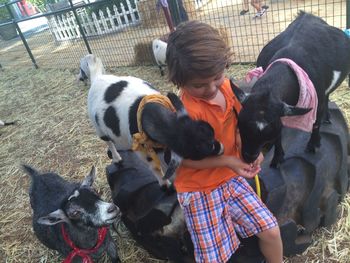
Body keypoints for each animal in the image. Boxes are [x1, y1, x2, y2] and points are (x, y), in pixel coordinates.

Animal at [78, 53, 223, 187]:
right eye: (202, 152)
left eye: (210, 131)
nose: (221, 148)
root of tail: (97, 78)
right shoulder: (142, 150)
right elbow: (154, 166)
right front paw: (165, 184)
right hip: (99, 128)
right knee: (109, 142)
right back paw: (117, 158)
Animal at [232, 11, 350, 168]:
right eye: (240, 124)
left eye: (268, 133)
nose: (249, 158)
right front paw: (277, 158)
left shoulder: (316, 100)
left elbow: (315, 123)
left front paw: (313, 144)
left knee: (327, 97)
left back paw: (326, 117)